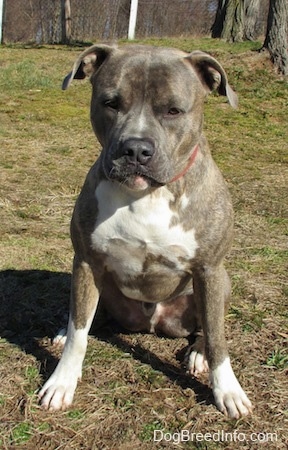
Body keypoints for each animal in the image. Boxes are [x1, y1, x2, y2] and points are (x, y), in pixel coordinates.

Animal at [38, 44, 252, 416]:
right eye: (111, 102)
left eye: (173, 110)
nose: (136, 149)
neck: (147, 194)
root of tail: (152, 323)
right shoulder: (86, 261)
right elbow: (80, 331)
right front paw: (62, 381)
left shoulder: (209, 269)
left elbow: (216, 337)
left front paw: (227, 390)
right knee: (86, 317)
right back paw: (65, 331)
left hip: (221, 283)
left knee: (207, 327)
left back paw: (198, 354)